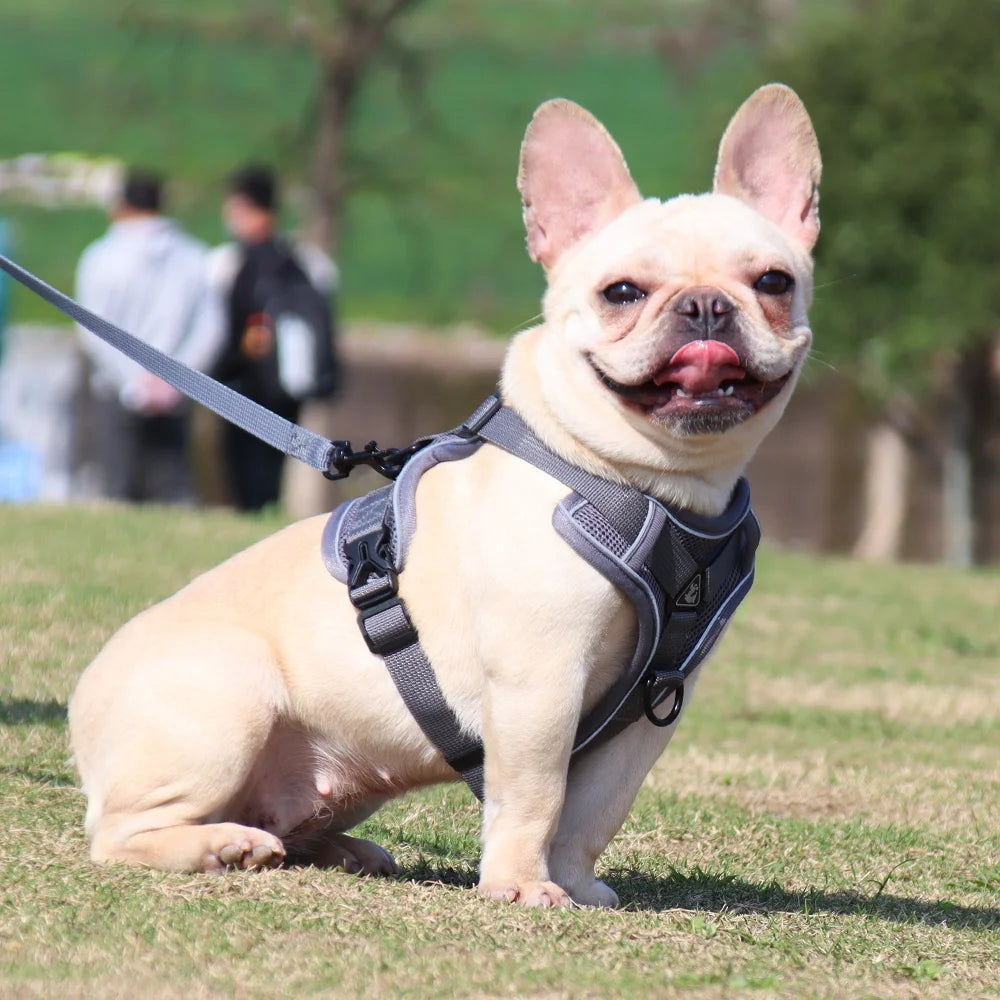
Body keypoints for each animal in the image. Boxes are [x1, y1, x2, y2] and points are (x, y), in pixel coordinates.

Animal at [68, 86, 820, 912]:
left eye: (773, 283)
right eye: (622, 293)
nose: (708, 308)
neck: (648, 482)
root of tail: (80, 700)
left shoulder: (651, 710)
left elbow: (594, 810)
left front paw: (575, 883)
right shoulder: (540, 682)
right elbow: (537, 796)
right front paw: (521, 886)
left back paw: (340, 849)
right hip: (229, 705)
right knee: (121, 833)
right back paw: (222, 846)